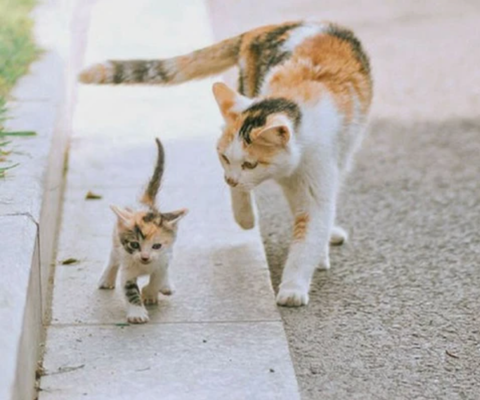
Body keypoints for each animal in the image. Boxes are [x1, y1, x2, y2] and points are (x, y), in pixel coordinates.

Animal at [98, 139, 188, 324]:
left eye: (156, 246)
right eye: (134, 244)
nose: (145, 257)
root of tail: (144, 204)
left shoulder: (163, 259)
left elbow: (158, 277)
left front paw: (150, 293)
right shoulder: (127, 268)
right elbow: (130, 291)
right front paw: (137, 313)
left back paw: (166, 286)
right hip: (115, 242)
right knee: (113, 259)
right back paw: (106, 278)